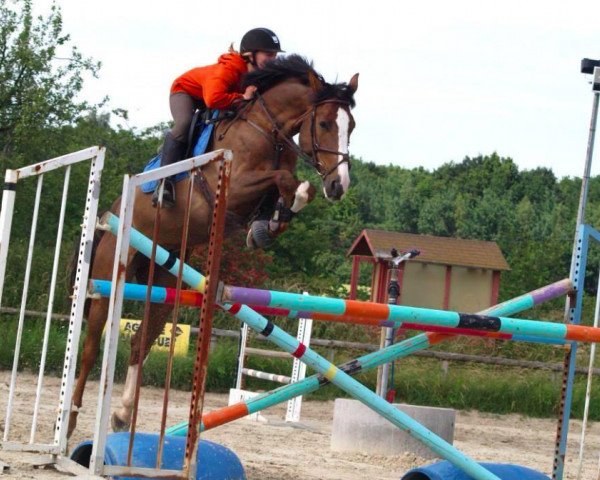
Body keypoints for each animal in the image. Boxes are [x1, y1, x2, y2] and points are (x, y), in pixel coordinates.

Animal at [67, 54, 356, 436]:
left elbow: (291, 190)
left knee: (140, 341)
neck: (268, 130)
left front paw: (267, 226)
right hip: (107, 280)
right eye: (323, 123)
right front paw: (278, 214)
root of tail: (108, 214)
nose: (339, 186)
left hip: (164, 279)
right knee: (89, 347)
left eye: (351, 127)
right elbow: (287, 181)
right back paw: (70, 420)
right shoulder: (232, 187)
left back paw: (123, 415)